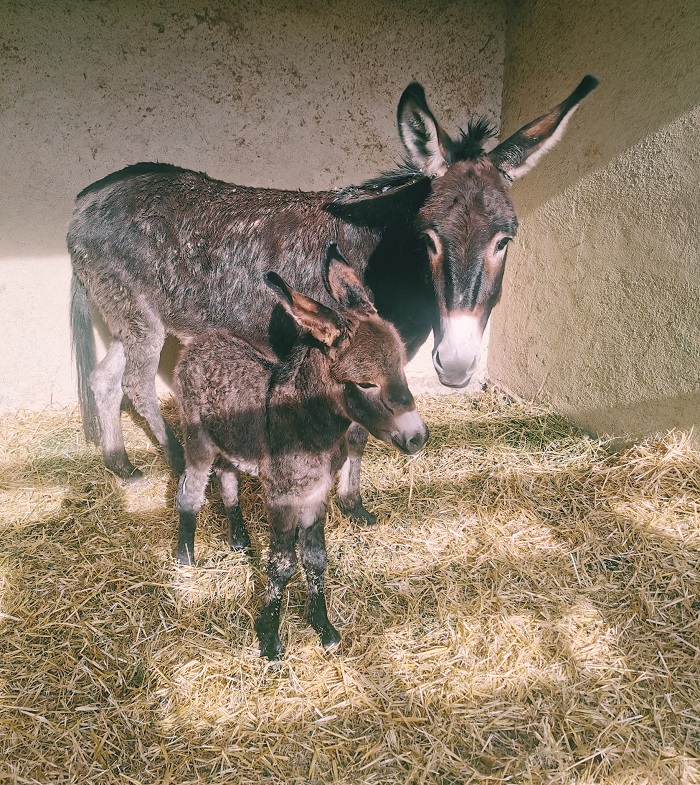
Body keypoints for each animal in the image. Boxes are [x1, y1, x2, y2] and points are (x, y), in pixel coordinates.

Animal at [172, 243, 430, 656]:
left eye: (402, 369)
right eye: (366, 384)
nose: (416, 437)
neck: (308, 425)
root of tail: (201, 342)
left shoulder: (315, 495)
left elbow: (316, 558)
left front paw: (323, 627)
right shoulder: (282, 498)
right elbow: (281, 564)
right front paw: (270, 639)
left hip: (230, 440)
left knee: (227, 477)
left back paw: (238, 538)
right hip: (198, 439)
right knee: (189, 491)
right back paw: (185, 558)